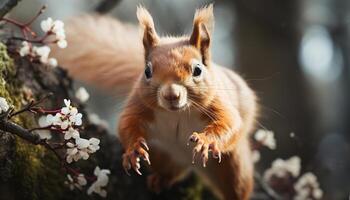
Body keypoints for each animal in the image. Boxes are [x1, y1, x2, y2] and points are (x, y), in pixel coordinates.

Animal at [53, 3, 258, 200]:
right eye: (147, 71)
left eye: (198, 70)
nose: (171, 95)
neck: (177, 114)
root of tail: (189, 164)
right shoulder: (139, 105)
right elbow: (126, 125)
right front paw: (134, 150)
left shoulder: (217, 103)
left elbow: (230, 123)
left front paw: (205, 140)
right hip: (163, 153)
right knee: (169, 172)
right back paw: (160, 179)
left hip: (233, 166)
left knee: (236, 188)